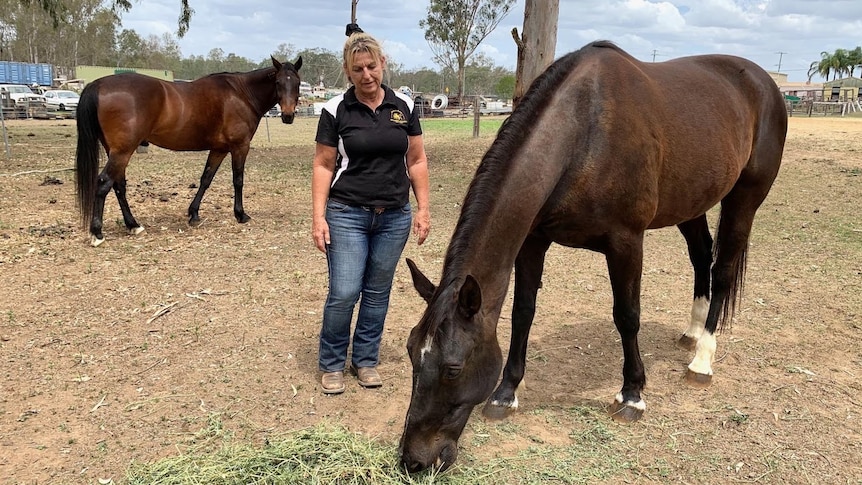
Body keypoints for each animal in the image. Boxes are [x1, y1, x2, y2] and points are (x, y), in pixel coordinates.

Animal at [75, 56, 304, 246]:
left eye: (297, 83)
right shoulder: (240, 147)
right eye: (278, 83)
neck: (241, 94)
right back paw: (97, 233)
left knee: (119, 185)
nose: (288, 115)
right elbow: (238, 180)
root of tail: (97, 84)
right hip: (122, 151)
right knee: (104, 182)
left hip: (116, 151)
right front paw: (240, 214)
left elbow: (206, 179)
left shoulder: (219, 149)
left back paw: (133, 225)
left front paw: (193, 214)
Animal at [400, 39, 788, 470]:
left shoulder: (626, 242)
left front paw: (632, 395)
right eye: (412, 353)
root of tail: (765, 83)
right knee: (702, 257)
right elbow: (523, 312)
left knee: (723, 270)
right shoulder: (533, 241)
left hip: (744, 198)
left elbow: (627, 316)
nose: (413, 461)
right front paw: (506, 393)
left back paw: (702, 358)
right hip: (691, 202)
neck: (584, 132)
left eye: (453, 369)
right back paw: (692, 331)